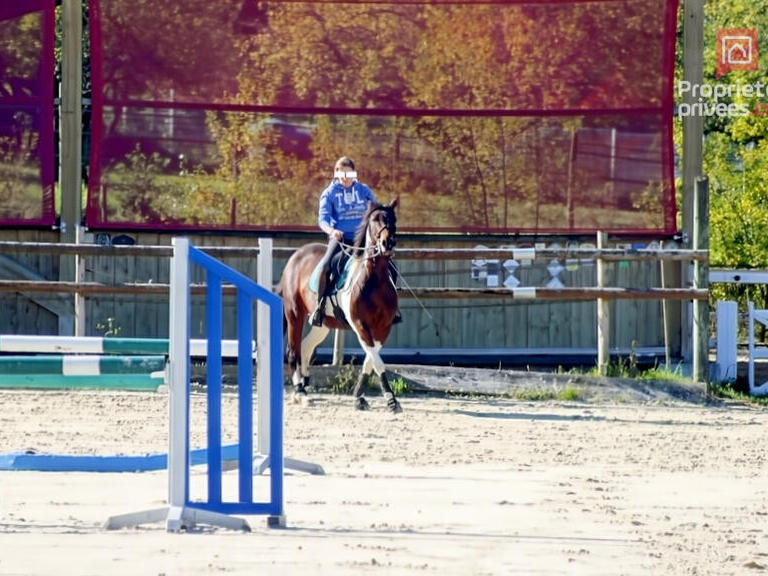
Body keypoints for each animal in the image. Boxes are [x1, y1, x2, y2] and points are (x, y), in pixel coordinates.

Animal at [280, 200, 402, 412]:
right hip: (294, 313)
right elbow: (376, 361)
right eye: (374, 220)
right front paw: (391, 399)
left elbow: (371, 359)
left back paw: (304, 385)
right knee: (293, 351)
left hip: (322, 324)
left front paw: (359, 396)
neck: (374, 280)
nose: (387, 243)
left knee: (305, 347)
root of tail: (296, 256)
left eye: (393, 220)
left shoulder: (383, 327)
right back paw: (300, 392)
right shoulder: (360, 325)